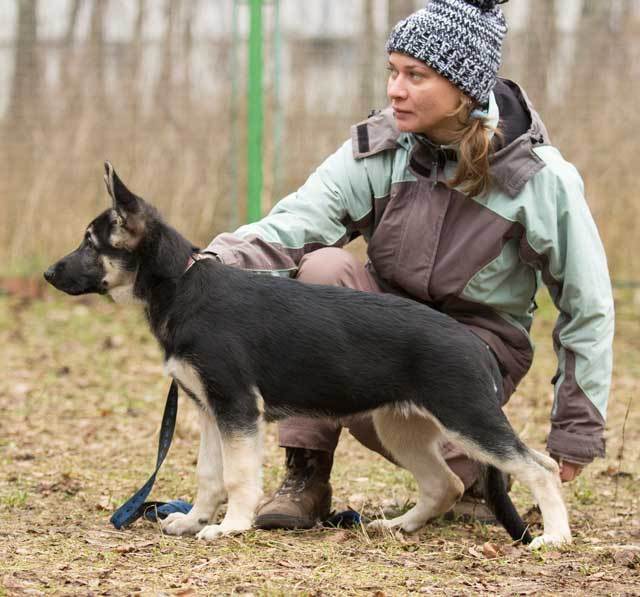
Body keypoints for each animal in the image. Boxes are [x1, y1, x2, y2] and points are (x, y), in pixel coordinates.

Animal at [45, 159, 572, 548]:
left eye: (90, 244)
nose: (49, 273)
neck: (181, 286)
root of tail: (476, 346)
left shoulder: (238, 410)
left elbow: (238, 476)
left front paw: (231, 526)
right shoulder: (211, 411)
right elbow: (209, 474)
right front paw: (194, 520)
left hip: (468, 420)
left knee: (540, 468)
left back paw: (554, 537)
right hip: (402, 427)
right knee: (446, 483)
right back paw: (398, 526)